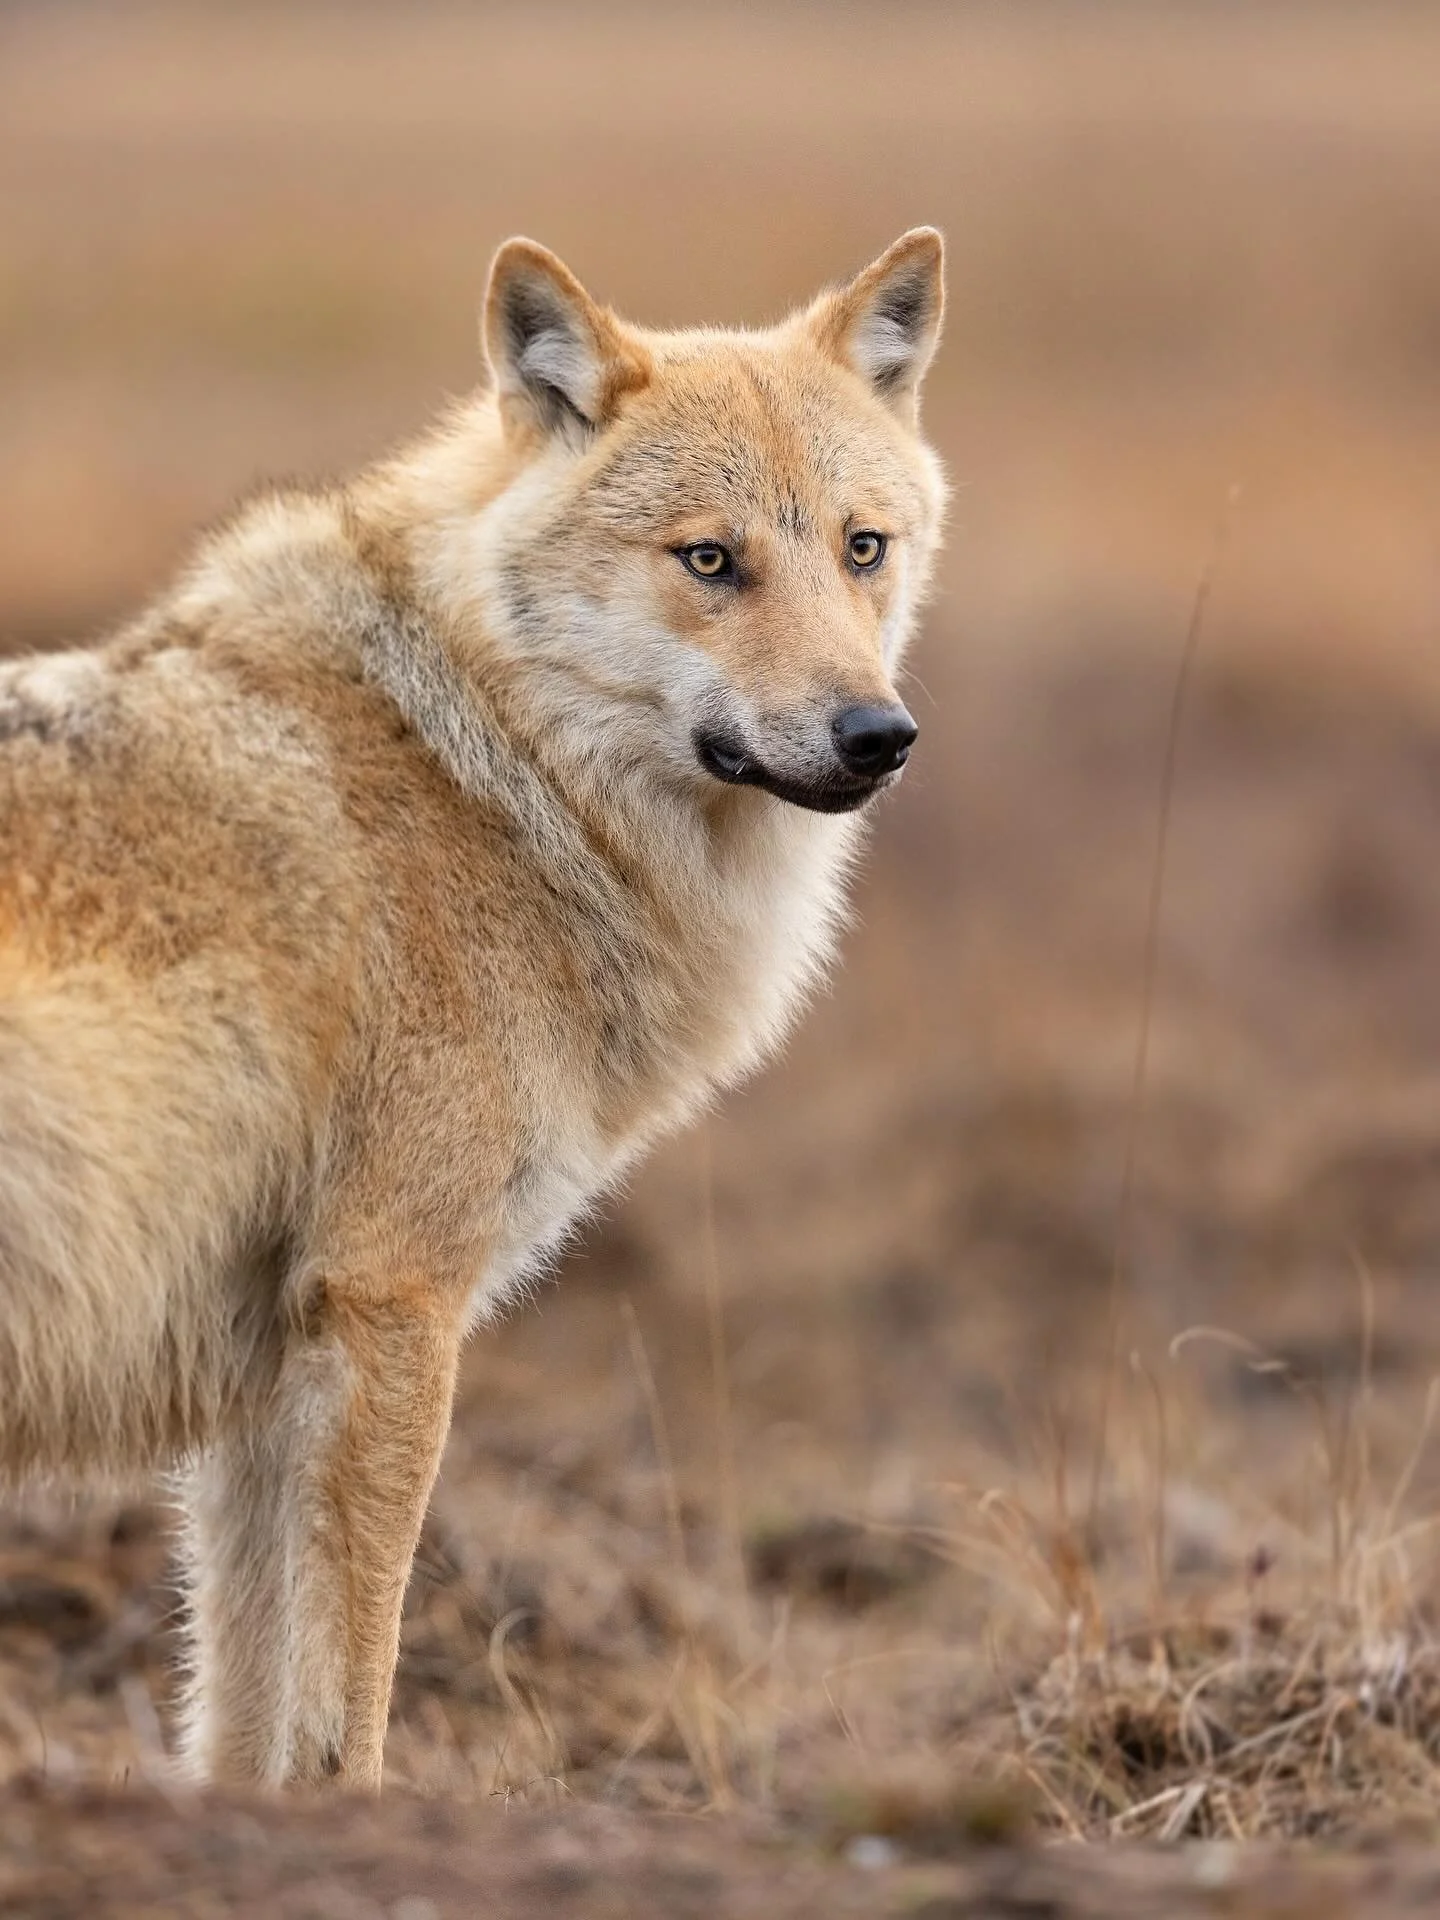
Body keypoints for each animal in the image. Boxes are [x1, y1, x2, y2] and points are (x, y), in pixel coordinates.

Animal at [0, 230, 947, 1787]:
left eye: (863, 548)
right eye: (711, 560)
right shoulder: (391, 1306)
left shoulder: (261, 1381)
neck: (485, 766)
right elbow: (348, 1700)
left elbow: (240, 1718)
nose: (878, 737)